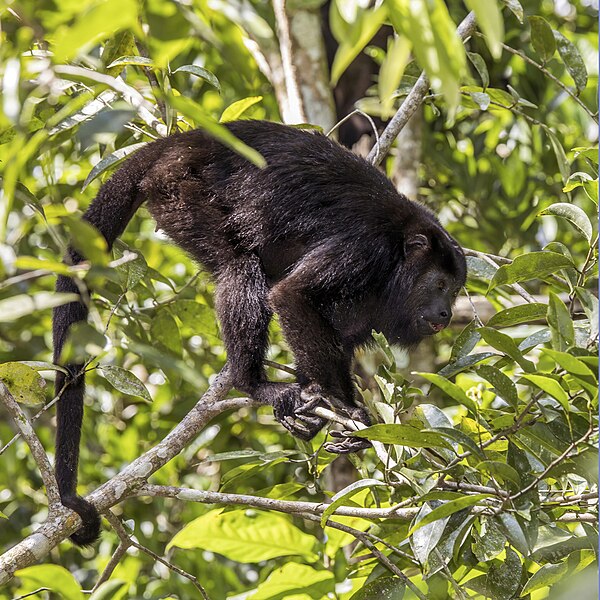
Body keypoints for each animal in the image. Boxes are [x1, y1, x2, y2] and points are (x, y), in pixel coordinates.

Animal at [52, 119, 464, 548]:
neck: (399, 252)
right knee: (239, 265)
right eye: (438, 284)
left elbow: (336, 335)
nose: (446, 312)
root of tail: (182, 140)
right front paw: (340, 406)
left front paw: (338, 414)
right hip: (177, 188)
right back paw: (252, 383)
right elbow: (292, 296)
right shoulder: (363, 250)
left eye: (454, 289)